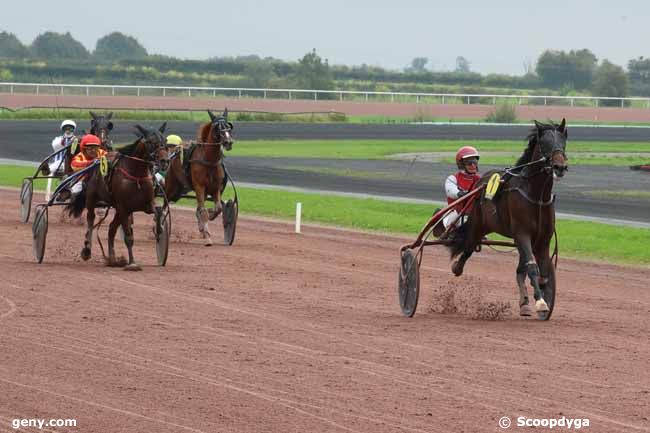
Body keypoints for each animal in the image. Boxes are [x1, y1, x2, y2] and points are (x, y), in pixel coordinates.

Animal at [64, 122, 167, 270]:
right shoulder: (123, 207)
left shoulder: (145, 204)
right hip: (93, 199)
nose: (164, 161)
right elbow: (128, 238)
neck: (136, 176)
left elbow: (158, 210)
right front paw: (132, 263)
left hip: (118, 209)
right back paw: (87, 250)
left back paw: (112, 259)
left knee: (111, 229)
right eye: (150, 142)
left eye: (165, 141)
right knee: (91, 220)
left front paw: (159, 229)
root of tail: (96, 162)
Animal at [162, 108, 233, 245]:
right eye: (217, 128)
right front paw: (208, 236)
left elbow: (218, 208)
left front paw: (210, 216)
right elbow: (203, 210)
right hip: (171, 187)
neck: (208, 161)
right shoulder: (199, 186)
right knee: (164, 203)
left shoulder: (215, 188)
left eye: (228, 126)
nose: (228, 142)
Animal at [446, 118, 568, 318]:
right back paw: (457, 267)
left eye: (563, 141)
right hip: (478, 225)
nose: (560, 167)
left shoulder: (542, 239)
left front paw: (541, 296)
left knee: (519, 270)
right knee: (468, 246)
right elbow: (532, 267)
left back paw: (524, 303)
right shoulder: (522, 234)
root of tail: (480, 183)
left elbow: (542, 272)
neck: (536, 195)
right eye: (544, 143)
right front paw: (541, 302)